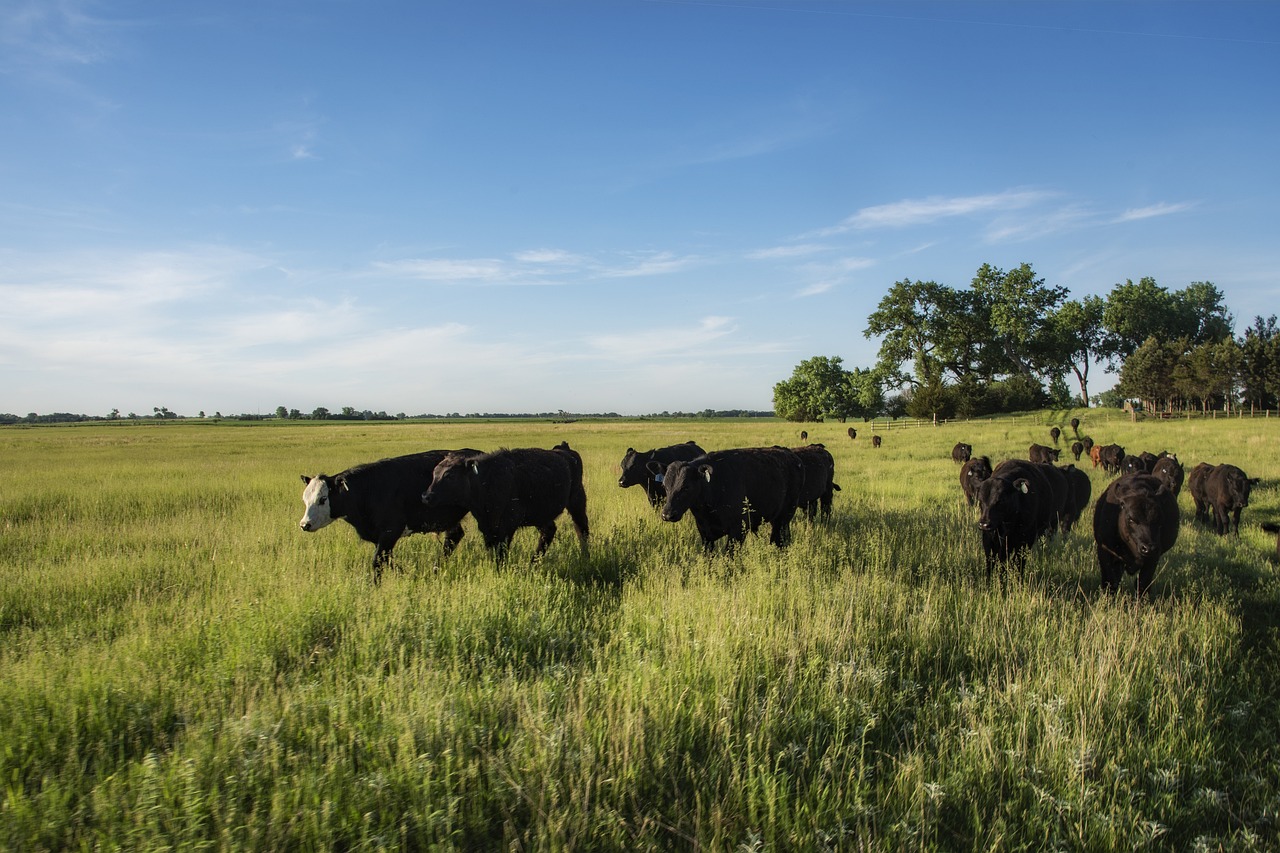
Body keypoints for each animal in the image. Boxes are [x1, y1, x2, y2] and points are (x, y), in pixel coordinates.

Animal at [294, 448, 481, 581]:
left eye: (323, 499)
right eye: (305, 499)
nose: (305, 524)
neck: (367, 489)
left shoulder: (391, 531)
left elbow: (377, 561)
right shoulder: (381, 538)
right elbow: (387, 559)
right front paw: (406, 575)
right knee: (454, 537)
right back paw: (436, 568)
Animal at [424, 440, 593, 560]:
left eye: (449, 475)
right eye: (434, 473)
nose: (426, 496)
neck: (486, 480)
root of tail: (565, 450)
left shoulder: (507, 528)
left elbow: (501, 554)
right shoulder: (488, 528)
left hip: (577, 503)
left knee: (581, 529)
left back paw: (585, 557)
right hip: (541, 515)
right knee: (549, 531)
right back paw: (533, 563)